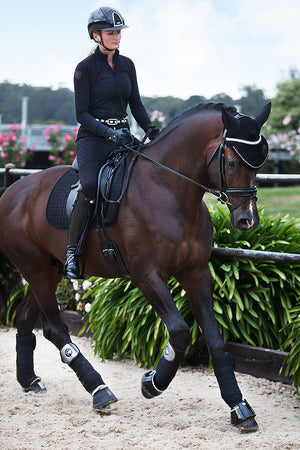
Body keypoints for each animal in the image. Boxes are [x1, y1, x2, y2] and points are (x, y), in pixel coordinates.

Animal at [0, 103, 270, 432]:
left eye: (260, 163)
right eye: (231, 162)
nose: (247, 220)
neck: (168, 191)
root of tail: (11, 192)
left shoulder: (196, 272)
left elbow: (215, 338)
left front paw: (239, 407)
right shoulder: (147, 276)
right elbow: (180, 332)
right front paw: (152, 383)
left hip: (48, 271)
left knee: (26, 318)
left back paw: (29, 380)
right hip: (36, 269)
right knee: (55, 329)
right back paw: (100, 391)